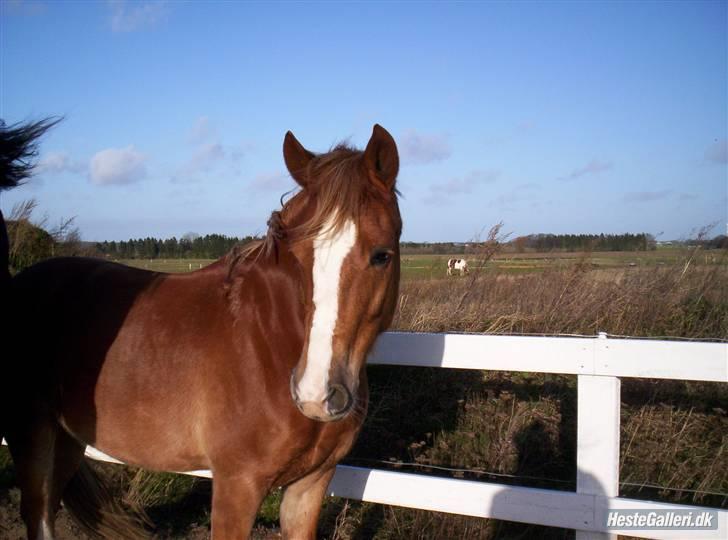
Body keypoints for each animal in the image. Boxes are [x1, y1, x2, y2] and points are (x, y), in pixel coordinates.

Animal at [1, 124, 402, 539]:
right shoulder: (236, 486)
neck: (268, 344)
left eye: (382, 255)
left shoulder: (310, 485)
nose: (315, 395)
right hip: (30, 434)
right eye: (297, 256)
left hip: (66, 439)